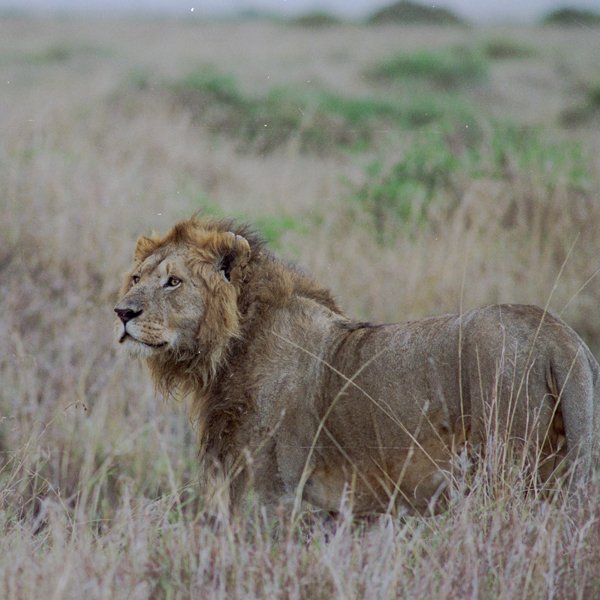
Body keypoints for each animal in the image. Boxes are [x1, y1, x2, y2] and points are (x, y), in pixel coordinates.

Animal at [115, 218, 596, 512]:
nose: (122, 312)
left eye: (173, 282)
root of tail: (561, 335)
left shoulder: (272, 491)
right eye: (136, 278)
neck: (228, 349)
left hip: (509, 465)